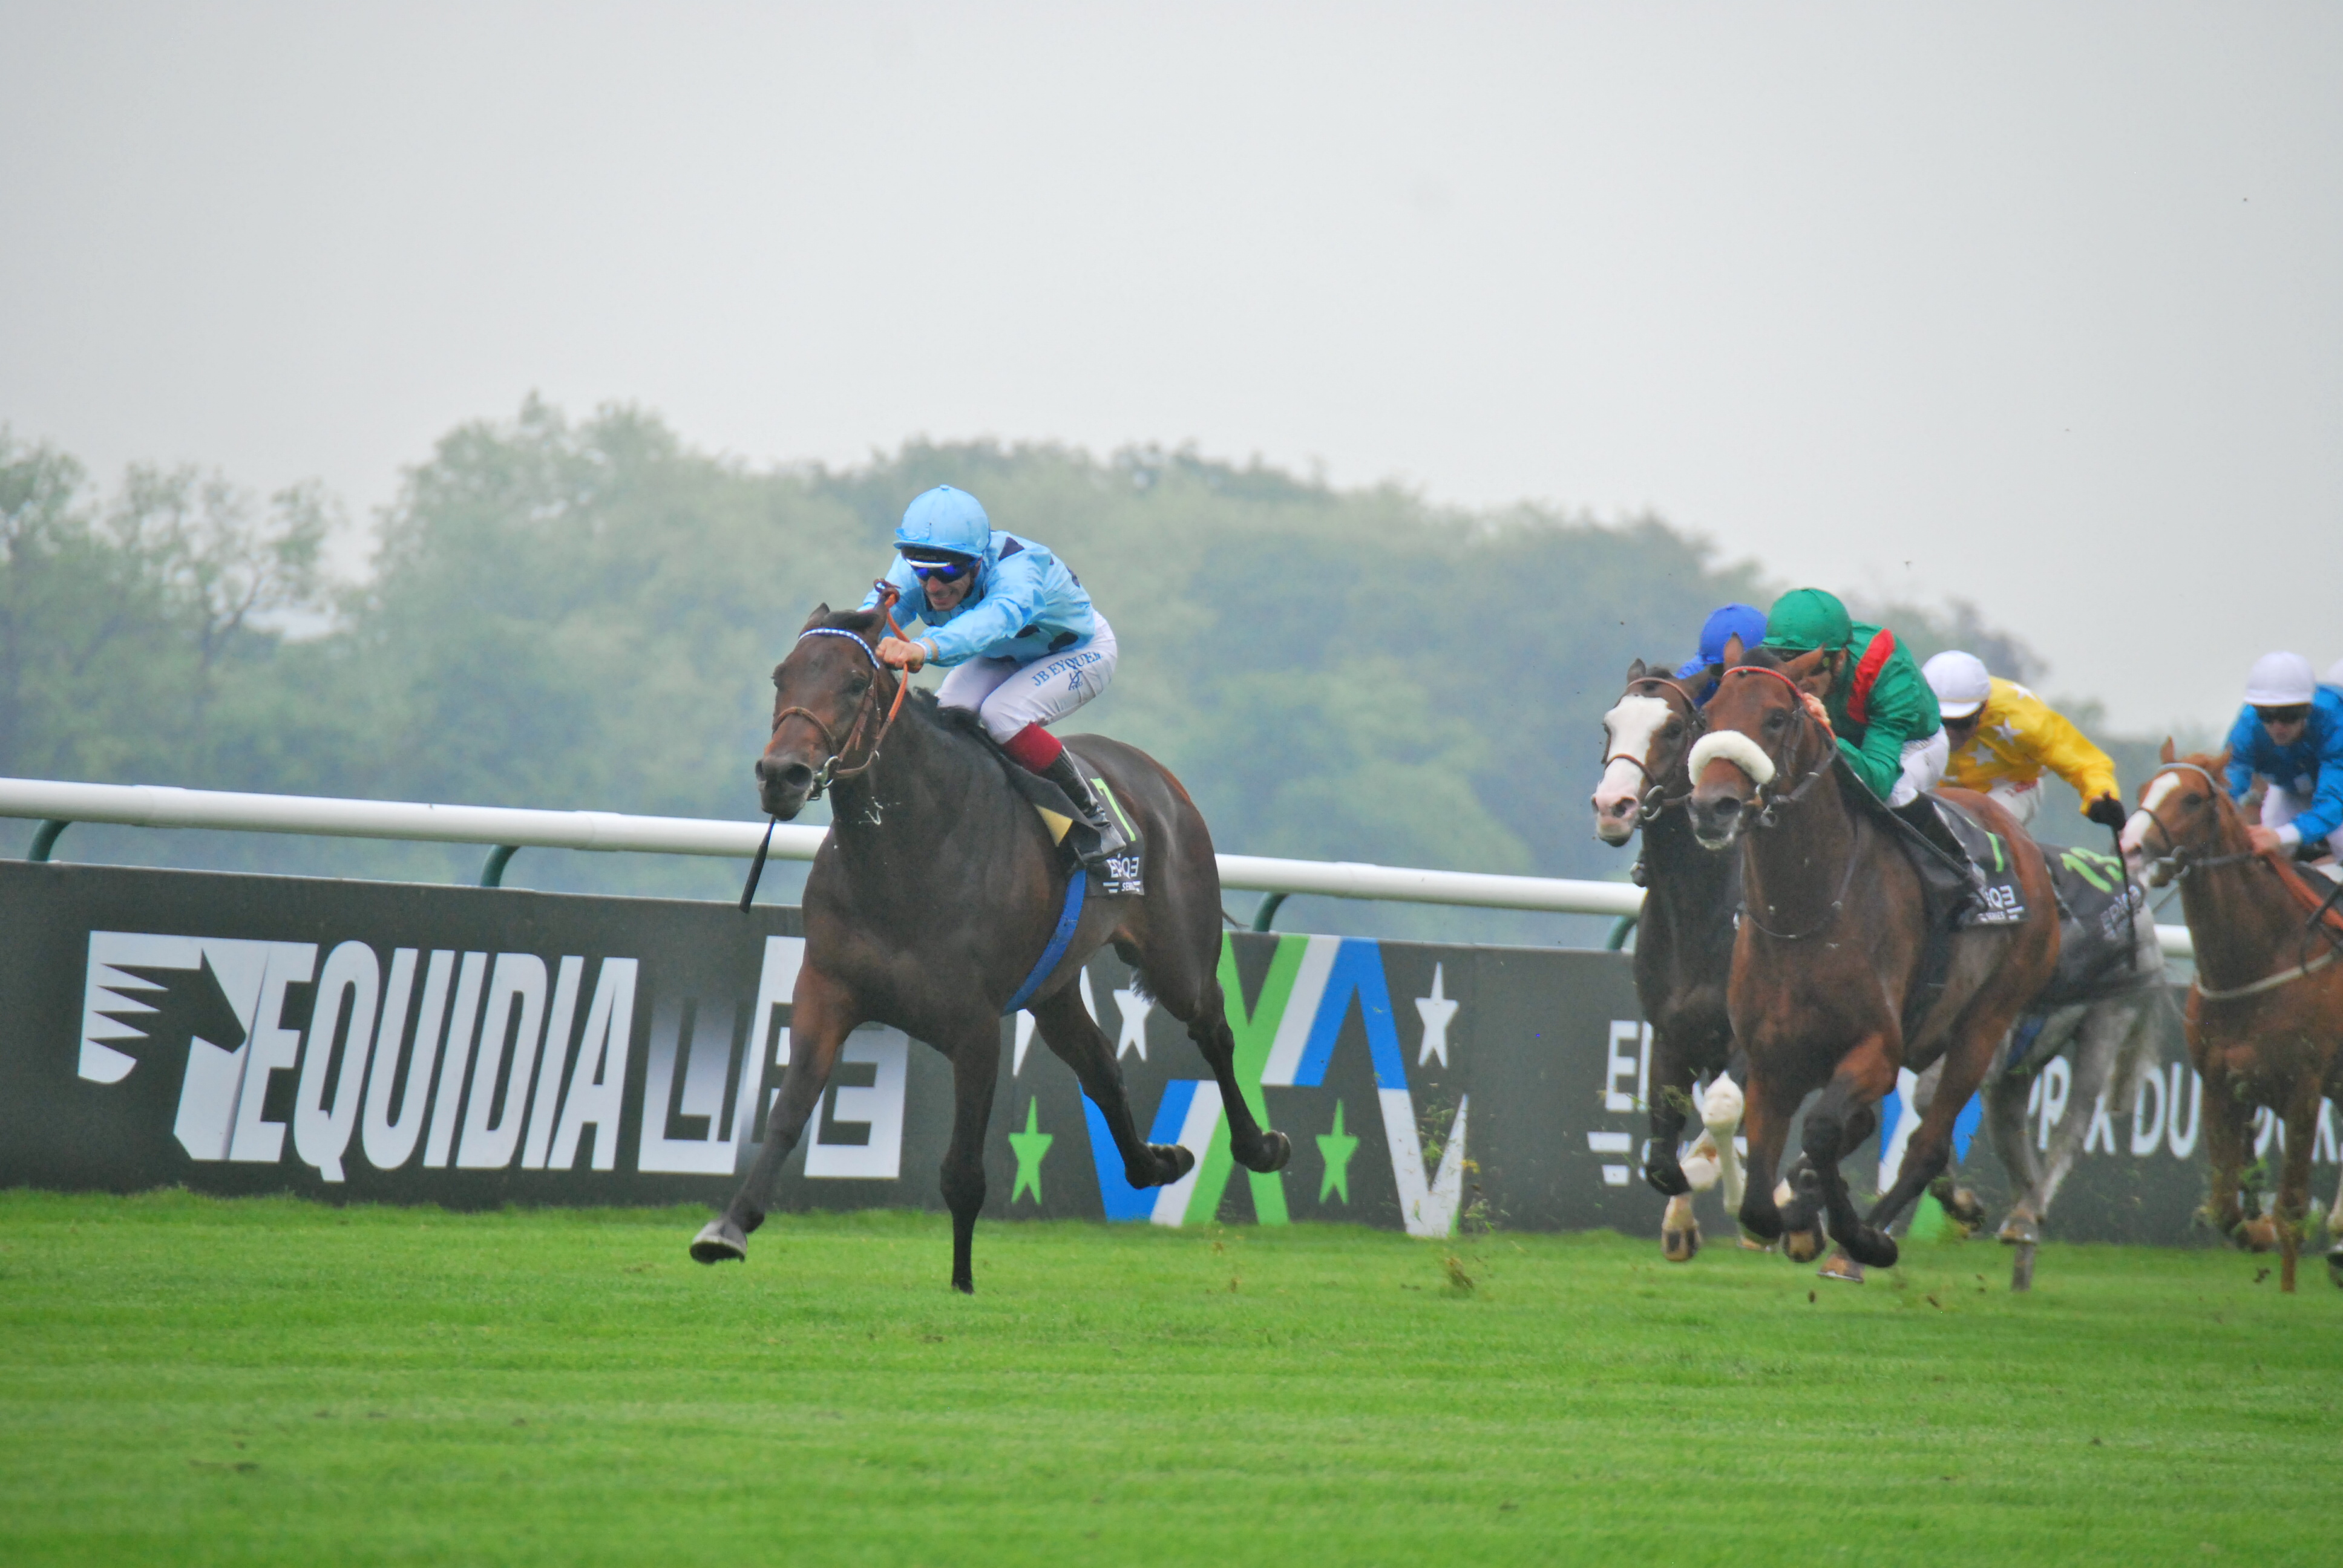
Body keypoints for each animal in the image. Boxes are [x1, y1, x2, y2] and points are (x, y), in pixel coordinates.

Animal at [684, 485, 1293, 1284]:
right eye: (780, 676)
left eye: (854, 681)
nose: (780, 775)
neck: (906, 862)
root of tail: (1158, 778)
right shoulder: (827, 989)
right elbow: (785, 1115)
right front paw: (728, 1227)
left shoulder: (974, 1028)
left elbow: (962, 1173)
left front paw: (962, 1283)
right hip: (1054, 987)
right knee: (1103, 1067)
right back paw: (1154, 1163)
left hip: (1176, 947)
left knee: (1212, 1029)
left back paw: (1259, 1145)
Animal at [1584, 661, 1752, 1256]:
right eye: (1608, 726)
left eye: (1675, 729)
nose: (1613, 808)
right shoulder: (1673, 1034)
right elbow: (1660, 1161)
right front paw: (1681, 1219)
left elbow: (1721, 1119)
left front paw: (1735, 1189)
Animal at [2127, 740, 2343, 1293]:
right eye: (2143, 791)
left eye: (2192, 800)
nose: (2132, 847)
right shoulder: (2220, 1083)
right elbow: (2226, 1207)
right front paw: (2255, 1228)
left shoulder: (2304, 1087)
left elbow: (2291, 1210)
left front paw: (2286, 1291)